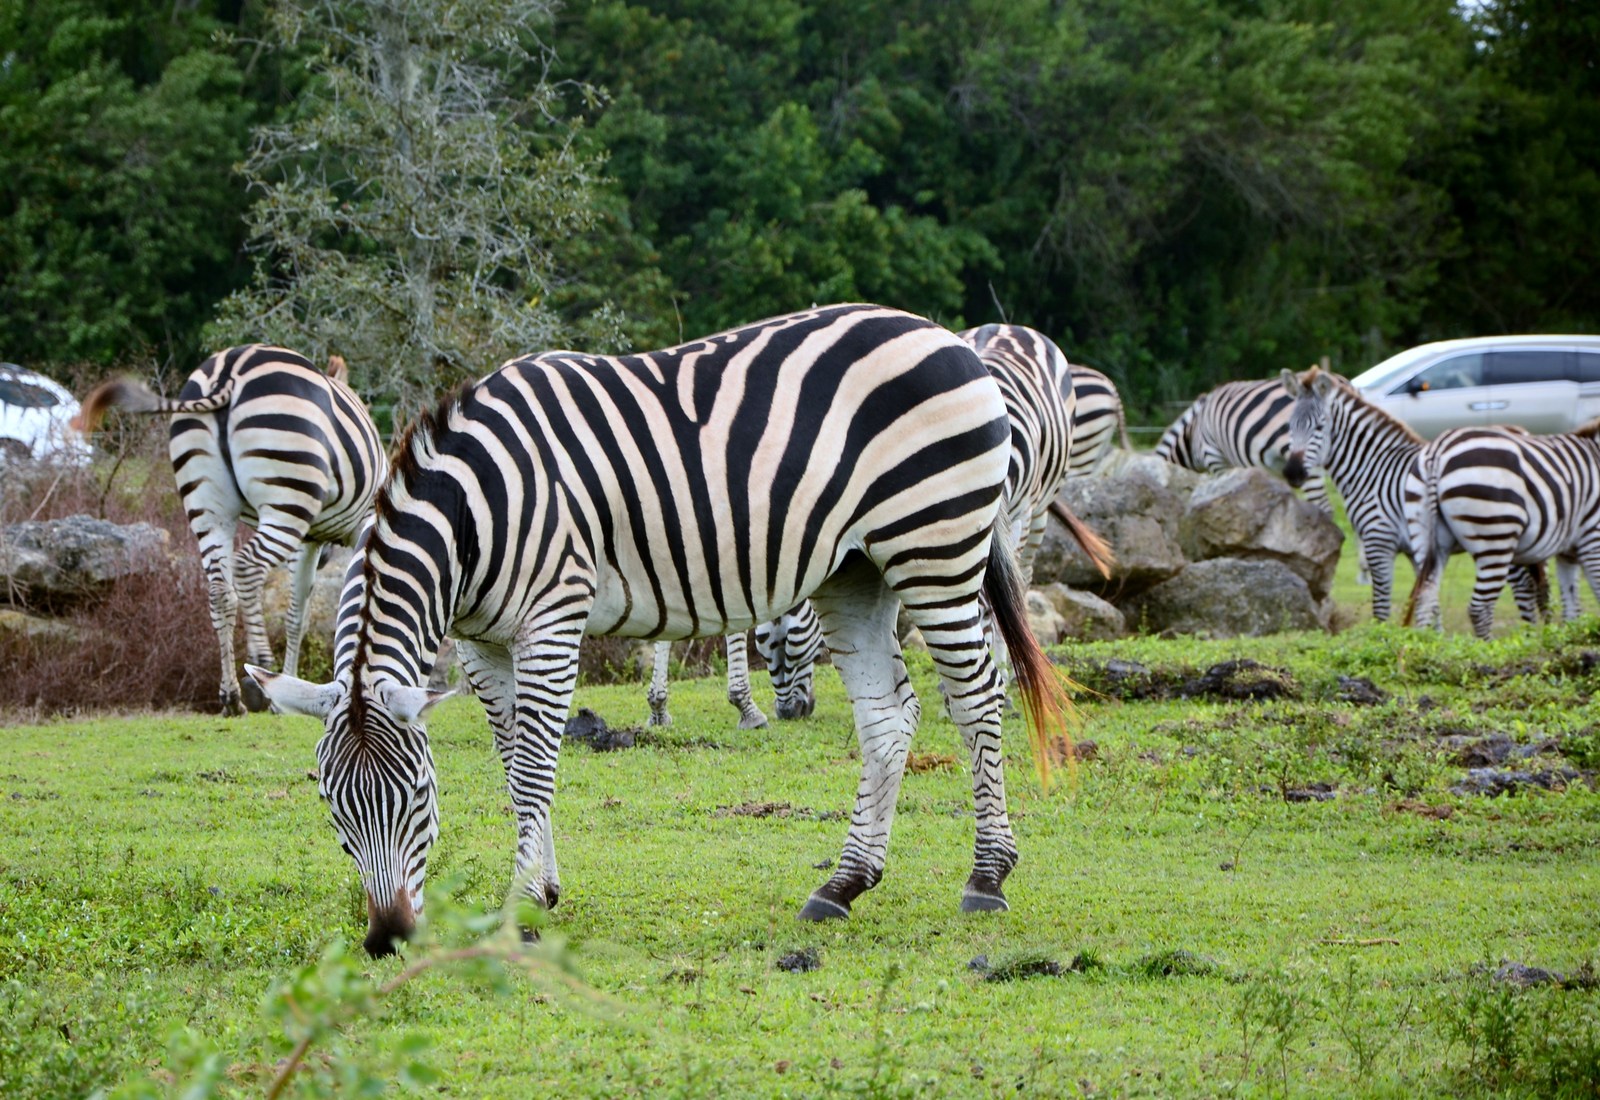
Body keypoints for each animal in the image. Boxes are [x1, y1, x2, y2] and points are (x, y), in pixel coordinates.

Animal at [76, 348, 385, 716]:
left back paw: (231, 696)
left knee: (219, 590)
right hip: (287, 495)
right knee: (247, 568)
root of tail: (228, 372)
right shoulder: (360, 524)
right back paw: (258, 674)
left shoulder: (307, 540)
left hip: (209, 508)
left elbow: (298, 613)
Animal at [246, 305, 1075, 959]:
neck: (474, 514)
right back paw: (843, 884)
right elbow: (512, 762)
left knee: (978, 697)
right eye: (333, 808)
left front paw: (520, 902)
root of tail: (949, 337)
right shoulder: (480, 643)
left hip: (934, 542)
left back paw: (987, 877)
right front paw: (544, 886)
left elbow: (535, 765)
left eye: (420, 797)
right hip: (857, 568)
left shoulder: (553, 617)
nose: (387, 940)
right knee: (888, 714)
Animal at [1273, 367, 1548, 626]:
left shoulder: (1379, 541)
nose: (1292, 472)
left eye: (1319, 427)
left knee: (1524, 586)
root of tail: (1522, 433)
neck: (1374, 469)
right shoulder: (1417, 551)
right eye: (1289, 426)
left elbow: (1381, 607)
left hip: (1497, 533)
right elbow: (1430, 603)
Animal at [1401, 425, 1600, 639]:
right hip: (1495, 535)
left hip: (1424, 533)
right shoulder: (1592, 539)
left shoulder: (1568, 553)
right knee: (1480, 608)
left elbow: (1571, 609)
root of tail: (1439, 448)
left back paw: (1423, 642)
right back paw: (1486, 646)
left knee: (1426, 596)